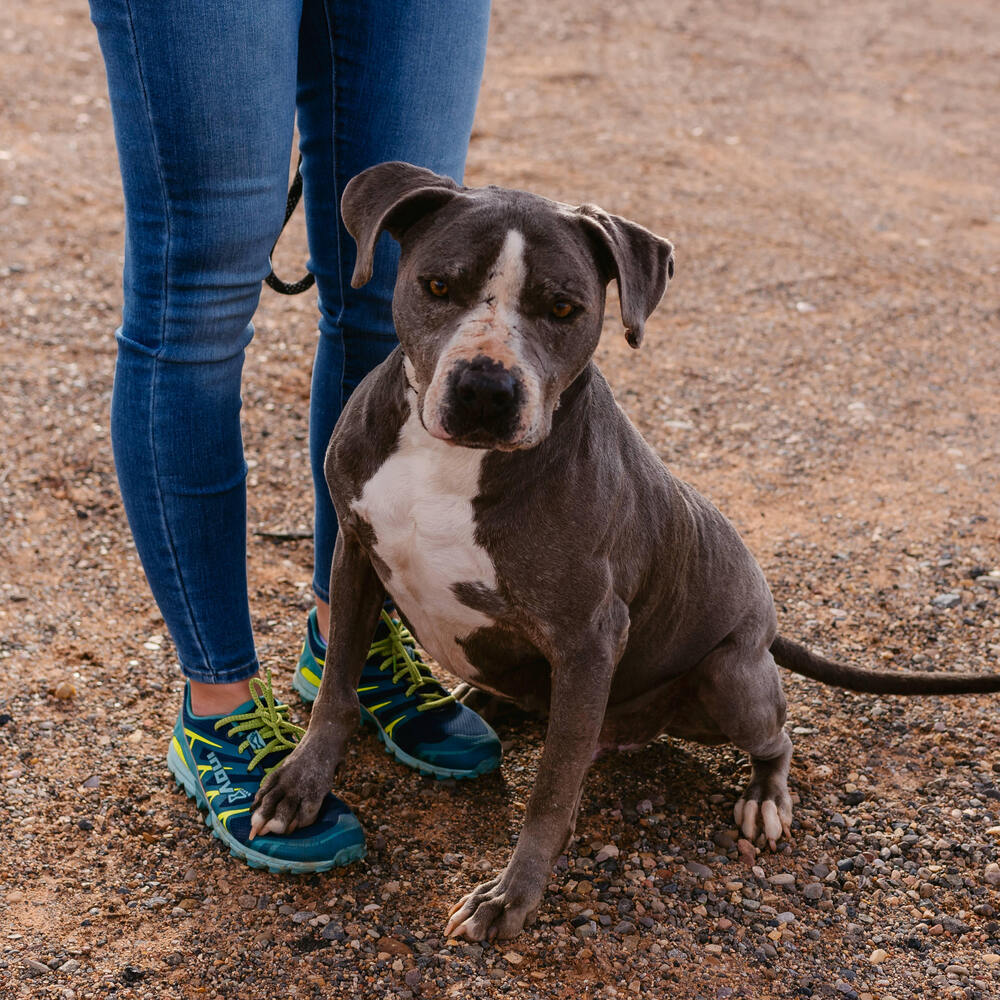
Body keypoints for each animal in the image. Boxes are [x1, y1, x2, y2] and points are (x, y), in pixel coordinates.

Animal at [248, 160, 1000, 940]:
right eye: (436, 286)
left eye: (564, 308)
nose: (486, 389)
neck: (450, 464)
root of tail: (767, 624)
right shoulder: (355, 555)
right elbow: (336, 688)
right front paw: (300, 785)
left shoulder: (589, 636)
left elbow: (550, 790)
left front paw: (510, 896)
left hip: (730, 675)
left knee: (772, 738)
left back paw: (764, 796)